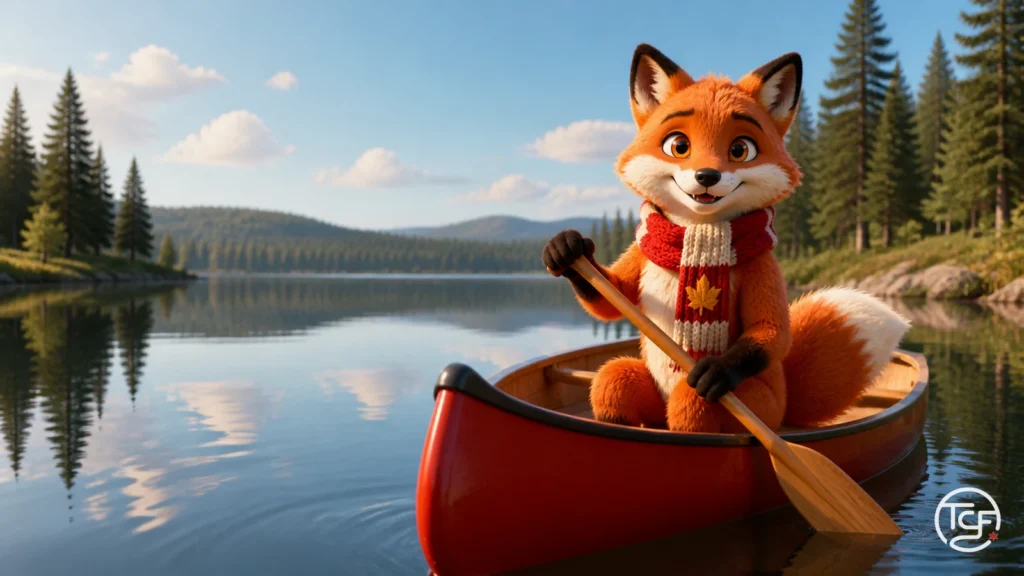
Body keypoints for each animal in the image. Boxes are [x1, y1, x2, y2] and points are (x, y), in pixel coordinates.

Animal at [543, 44, 911, 433]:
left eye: (740, 149)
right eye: (679, 145)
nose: (707, 175)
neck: (697, 229)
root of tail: (786, 413)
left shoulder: (763, 266)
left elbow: (773, 331)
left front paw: (718, 371)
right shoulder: (642, 254)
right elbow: (611, 298)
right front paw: (567, 249)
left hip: (757, 404)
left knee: (693, 405)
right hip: (636, 387)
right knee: (613, 381)